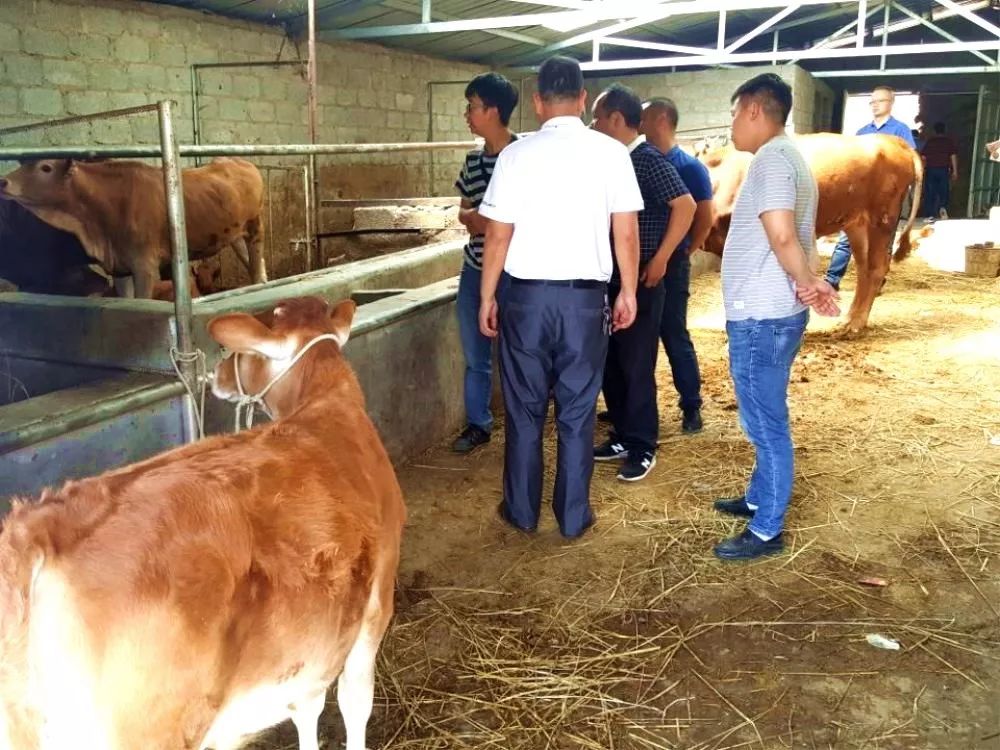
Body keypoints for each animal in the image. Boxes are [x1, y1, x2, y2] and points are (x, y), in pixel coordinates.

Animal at [0, 158, 268, 300]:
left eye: (45, 167)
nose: (3, 181)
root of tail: (240, 161)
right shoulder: (120, 267)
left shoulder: (145, 266)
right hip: (235, 236)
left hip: (255, 227)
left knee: (257, 267)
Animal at [0, 298, 406, 750]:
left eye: (239, 353)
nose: (218, 372)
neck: (325, 403)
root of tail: (38, 530)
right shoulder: (376, 600)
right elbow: (354, 703)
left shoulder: (318, 640)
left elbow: (310, 706)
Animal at [696, 134, 920, 334]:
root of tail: (895, 142)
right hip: (857, 225)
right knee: (864, 268)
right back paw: (850, 318)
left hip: (881, 219)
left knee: (876, 268)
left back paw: (856, 322)